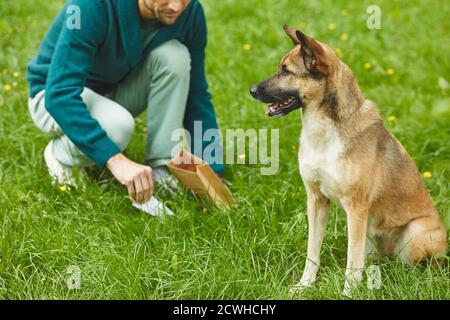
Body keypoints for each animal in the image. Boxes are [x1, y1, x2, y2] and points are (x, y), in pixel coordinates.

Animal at [250, 24, 446, 296]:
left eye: (285, 71)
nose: (252, 91)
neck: (323, 131)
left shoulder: (356, 207)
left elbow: (352, 266)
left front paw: (348, 294)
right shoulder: (316, 200)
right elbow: (313, 252)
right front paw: (304, 285)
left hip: (416, 233)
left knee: (420, 267)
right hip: (369, 236)